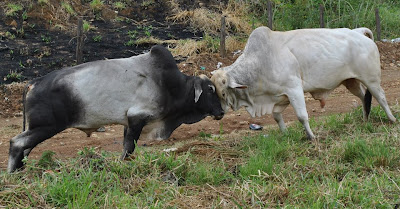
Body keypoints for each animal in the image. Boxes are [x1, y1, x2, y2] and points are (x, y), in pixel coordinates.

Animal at [7, 45, 223, 172]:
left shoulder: (129, 122)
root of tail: (33, 83)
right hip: (45, 126)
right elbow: (129, 148)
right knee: (17, 143)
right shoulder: (137, 118)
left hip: (36, 127)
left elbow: (127, 148)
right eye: (210, 89)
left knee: (24, 149)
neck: (170, 85)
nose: (221, 112)